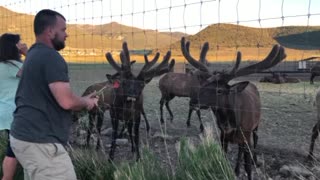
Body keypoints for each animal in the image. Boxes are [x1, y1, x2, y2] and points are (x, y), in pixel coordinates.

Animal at [180, 37, 288, 180]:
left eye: (219, 90)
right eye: (204, 85)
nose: (193, 101)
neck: (230, 123)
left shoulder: (246, 134)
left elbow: (248, 168)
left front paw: (248, 169)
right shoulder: (223, 135)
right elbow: (224, 159)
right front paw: (232, 170)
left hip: (255, 125)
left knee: (255, 139)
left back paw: (254, 160)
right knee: (240, 149)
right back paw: (237, 169)